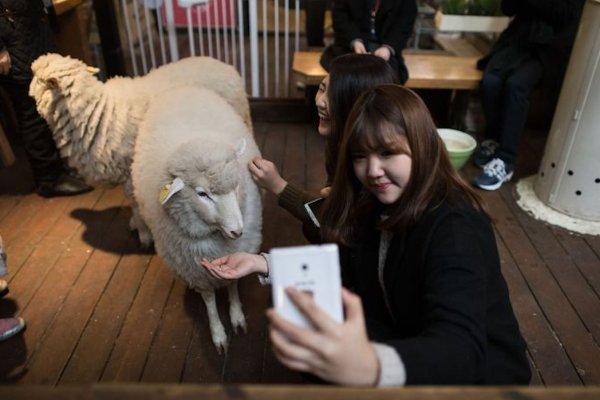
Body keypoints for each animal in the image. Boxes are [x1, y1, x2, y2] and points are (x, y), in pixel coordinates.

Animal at [29, 53, 251, 247]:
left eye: (38, 78)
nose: (28, 90)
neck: (99, 112)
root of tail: (227, 67)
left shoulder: (130, 172)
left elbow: (135, 202)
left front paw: (144, 233)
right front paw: (136, 224)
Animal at [131, 86, 262, 352]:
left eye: (236, 186)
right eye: (202, 194)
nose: (237, 231)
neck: (216, 238)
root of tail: (183, 88)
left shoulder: (237, 251)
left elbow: (232, 284)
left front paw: (237, 316)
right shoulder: (194, 268)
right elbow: (209, 298)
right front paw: (218, 333)